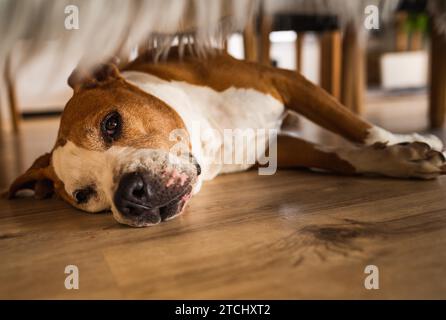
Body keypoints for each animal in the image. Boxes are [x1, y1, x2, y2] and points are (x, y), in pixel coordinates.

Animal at [6, 48, 446, 226]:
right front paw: (403, 157)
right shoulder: (274, 148)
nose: (131, 194)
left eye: (111, 124)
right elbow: (340, 157)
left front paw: (407, 143)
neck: (210, 136)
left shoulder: (286, 79)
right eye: (84, 195)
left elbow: (359, 127)